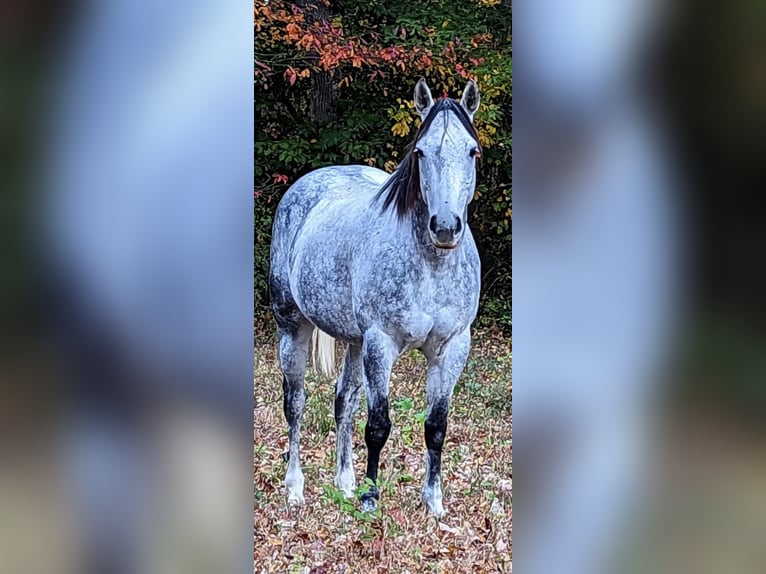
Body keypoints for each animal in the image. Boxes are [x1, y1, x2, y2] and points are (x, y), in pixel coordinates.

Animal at [270, 77, 484, 516]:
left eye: (472, 151)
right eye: (420, 152)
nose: (445, 227)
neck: (431, 267)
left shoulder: (453, 347)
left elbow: (436, 426)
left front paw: (434, 502)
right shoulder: (380, 343)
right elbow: (379, 425)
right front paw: (371, 497)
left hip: (353, 342)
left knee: (344, 402)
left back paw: (344, 482)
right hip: (292, 327)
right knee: (295, 404)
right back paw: (296, 489)